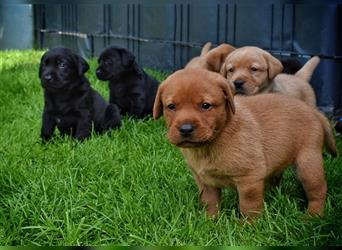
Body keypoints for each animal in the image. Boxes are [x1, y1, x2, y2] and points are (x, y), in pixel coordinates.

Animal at [154, 69, 336, 219]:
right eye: (171, 106)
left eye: (206, 105)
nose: (186, 129)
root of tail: (314, 112)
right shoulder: (204, 181)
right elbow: (210, 202)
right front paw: (210, 221)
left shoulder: (249, 178)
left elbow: (249, 206)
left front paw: (248, 227)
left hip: (308, 164)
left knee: (318, 191)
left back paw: (312, 216)